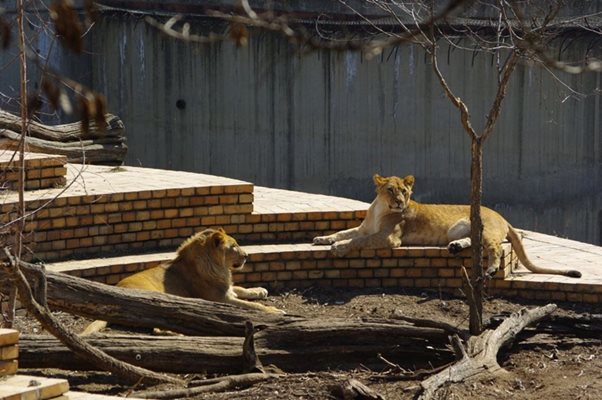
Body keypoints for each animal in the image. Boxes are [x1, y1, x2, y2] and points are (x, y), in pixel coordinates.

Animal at [80, 228, 284, 334]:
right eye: (234, 246)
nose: (247, 256)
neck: (219, 268)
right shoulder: (219, 299)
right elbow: (253, 306)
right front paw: (276, 311)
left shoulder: (227, 289)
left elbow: (241, 288)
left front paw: (260, 290)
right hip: (155, 298)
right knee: (156, 327)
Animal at [314, 173, 580, 280]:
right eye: (390, 190)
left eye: (405, 191)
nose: (400, 202)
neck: (380, 208)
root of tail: (503, 216)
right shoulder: (364, 228)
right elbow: (345, 232)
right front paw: (322, 239)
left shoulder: (390, 239)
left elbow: (357, 241)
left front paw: (338, 248)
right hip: (467, 229)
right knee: (475, 243)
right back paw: (455, 246)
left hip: (486, 228)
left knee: (493, 249)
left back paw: (491, 269)